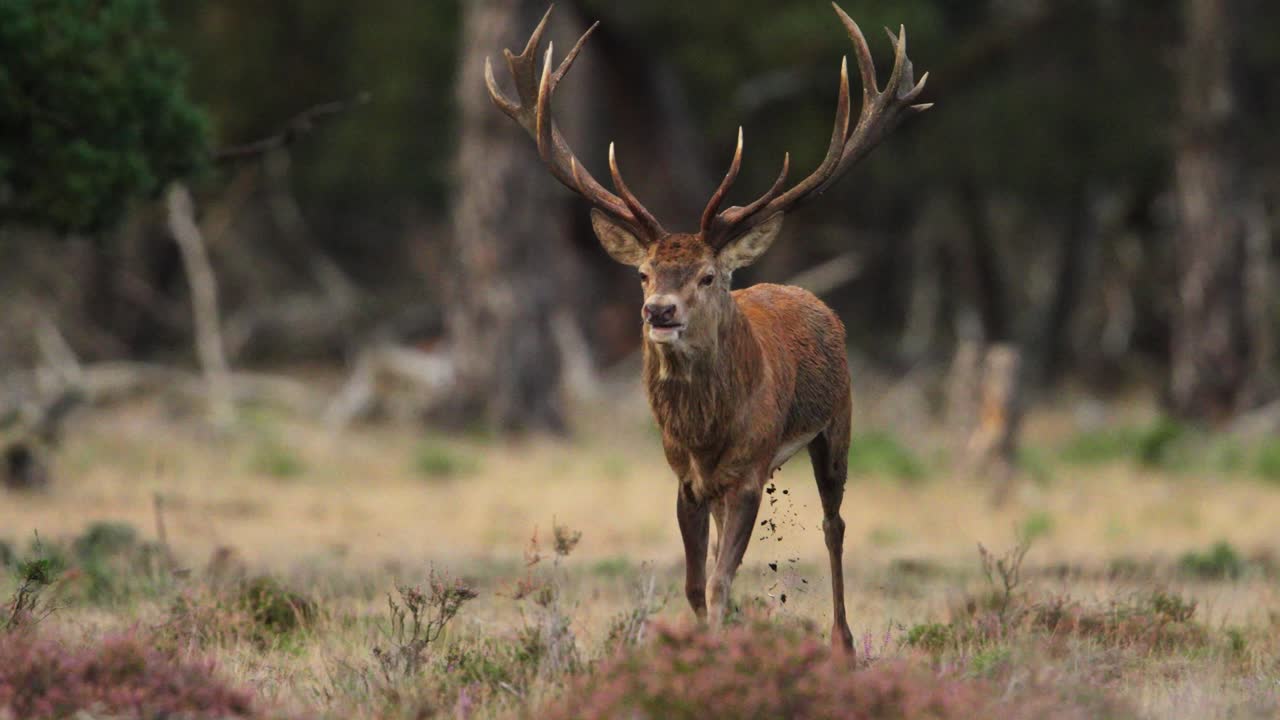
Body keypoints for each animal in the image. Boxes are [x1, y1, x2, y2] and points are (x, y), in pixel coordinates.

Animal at [485, 3, 929, 656]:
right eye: (644, 273)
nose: (659, 311)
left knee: (835, 524)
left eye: (708, 275)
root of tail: (816, 302)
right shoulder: (687, 480)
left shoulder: (749, 470)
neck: (705, 434)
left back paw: (843, 643)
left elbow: (720, 582)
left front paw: (721, 650)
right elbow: (699, 584)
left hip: (839, 424)